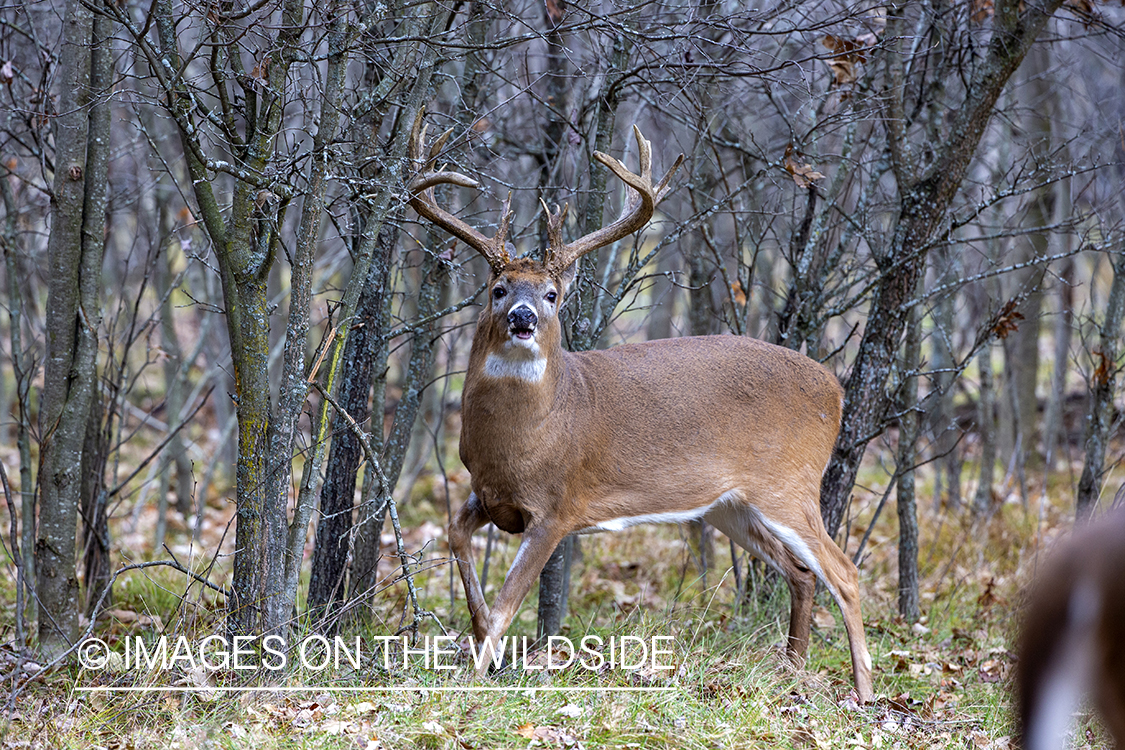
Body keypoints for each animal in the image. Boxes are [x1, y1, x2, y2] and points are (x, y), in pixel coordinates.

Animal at [409, 117, 873, 706]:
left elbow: (508, 603)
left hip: (788, 483)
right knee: (802, 573)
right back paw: (792, 670)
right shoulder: (484, 494)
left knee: (845, 572)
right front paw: (476, 656)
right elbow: (461, 553)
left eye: (553, 294)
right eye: (498, 288)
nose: (522, 317)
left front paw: (473, 680)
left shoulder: (558, 507)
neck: (524, 439)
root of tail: (835, 388)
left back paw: (864, 692)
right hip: (730, 504)